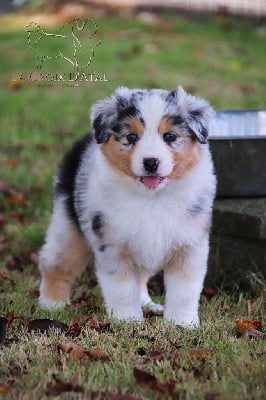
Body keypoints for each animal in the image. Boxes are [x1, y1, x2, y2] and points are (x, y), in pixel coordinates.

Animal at [38, 86, 215, 326]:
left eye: (170, 136)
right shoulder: (112, 245)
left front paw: (182, 323)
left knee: (140, 278)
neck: (152, 198)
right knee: (55, 264)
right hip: (68, 230)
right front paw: (128, 322)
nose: (151, 162)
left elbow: (184, 290)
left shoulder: (189, 245)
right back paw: (51, 304)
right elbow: (122, 289)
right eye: (131, 137)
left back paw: (147, 304)